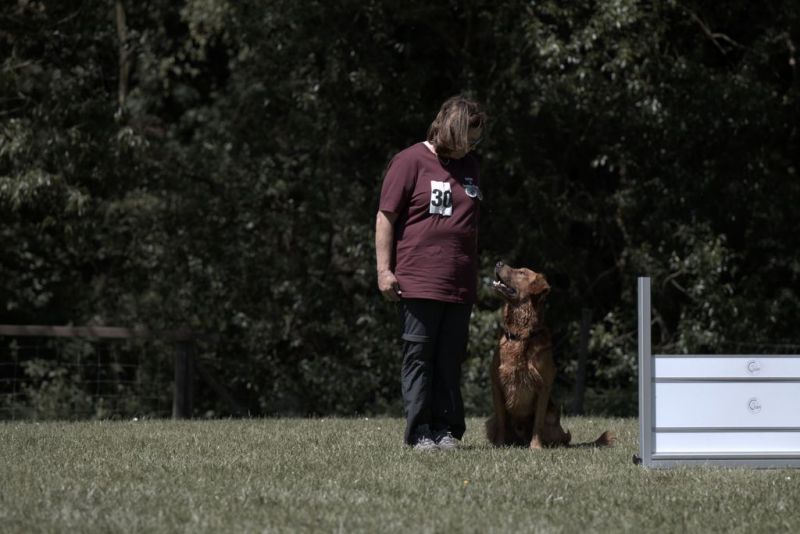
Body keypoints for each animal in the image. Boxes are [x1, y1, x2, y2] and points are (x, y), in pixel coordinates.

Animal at [486, 262, 614, 449]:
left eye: (521, 272)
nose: (498, 263)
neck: (521, 335)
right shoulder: (497, 385)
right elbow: (502, 421)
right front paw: (499, 445)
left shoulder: (543, 386)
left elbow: (538, 422)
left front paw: (536, 447)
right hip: (489, 421)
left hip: (554, 422)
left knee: (563, 439)